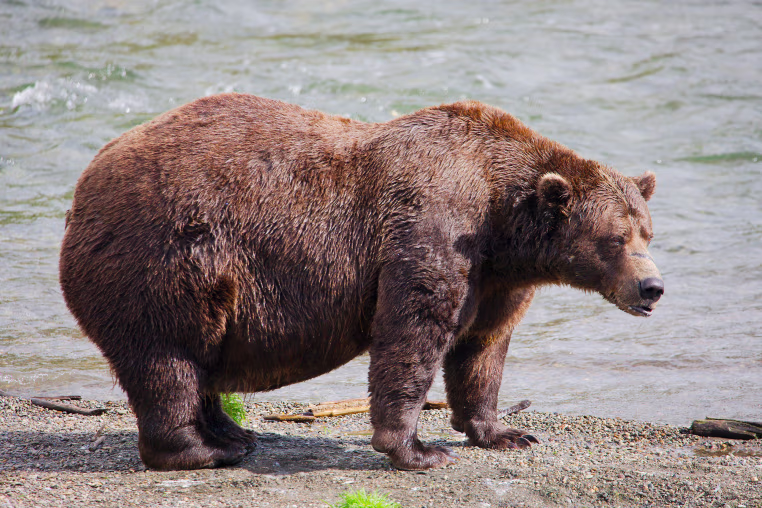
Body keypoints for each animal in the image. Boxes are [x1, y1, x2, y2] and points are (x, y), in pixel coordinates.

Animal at [59, 93, 664, 471]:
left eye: (648, 232)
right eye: (615, 238)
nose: (652, 288)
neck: (502, 220)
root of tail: (82, 187)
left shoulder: (496, 278)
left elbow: (482, 349)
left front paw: (505, 433)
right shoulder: (433, 228)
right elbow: (413, 331)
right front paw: (418, 450)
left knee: (197, 360)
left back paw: (233, 433)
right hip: (165, 259)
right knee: (168, 358)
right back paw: (203, 450)